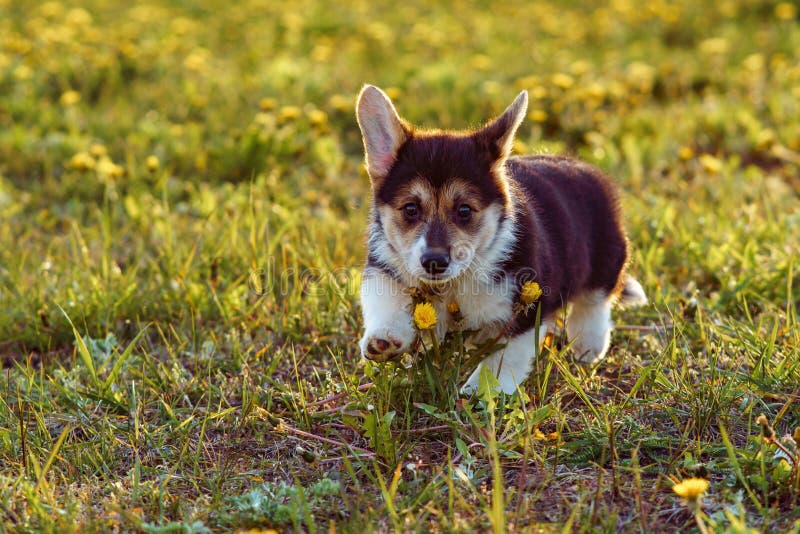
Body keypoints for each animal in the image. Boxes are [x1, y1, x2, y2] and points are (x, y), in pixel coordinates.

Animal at [354, 86, 648, 396]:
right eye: (410, 209)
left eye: (464, 211)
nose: (434, 262)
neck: (454, 285)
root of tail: (584, 168)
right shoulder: (383, 269)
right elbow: (386, 303)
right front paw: (384, 339)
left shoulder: (527, 309)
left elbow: (503, 358)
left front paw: (479, 391)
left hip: (606, 258)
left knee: (596, 301)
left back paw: (588, 344)